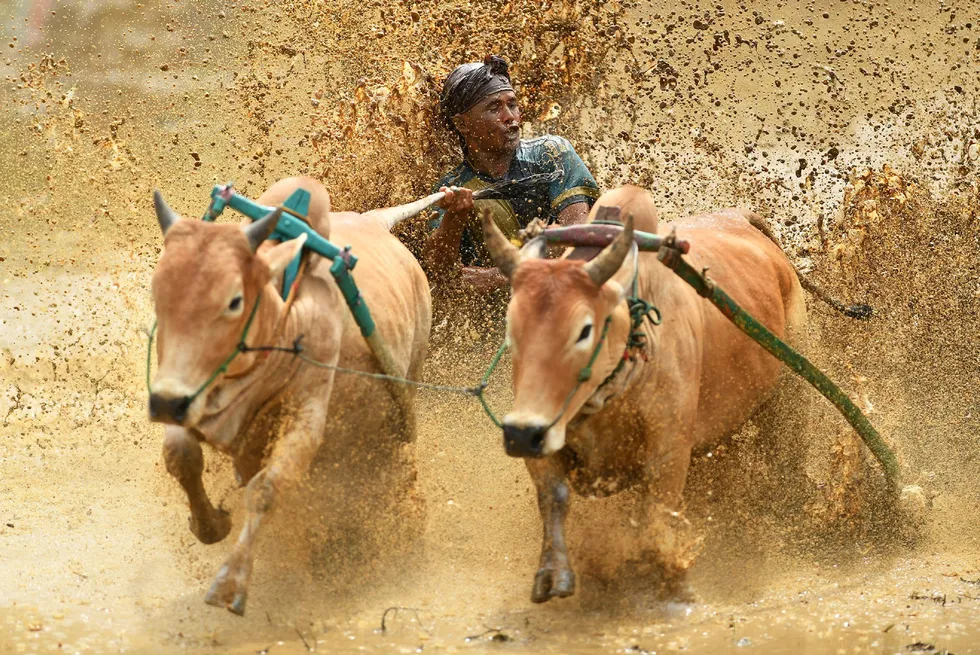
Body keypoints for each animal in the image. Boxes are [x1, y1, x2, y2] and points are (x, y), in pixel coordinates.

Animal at [149, 176, 432, 616]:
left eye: (234, 301)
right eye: (158, 294)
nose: (165, 402)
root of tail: (376, 221)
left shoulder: (306, 417)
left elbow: (266, 489)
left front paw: (231, 583)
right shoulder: (186, 395)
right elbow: (181, 456)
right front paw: (210, 524)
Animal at [486, 184, 852, 604]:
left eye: (584, 329)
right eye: (512, 326)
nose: (521, 434)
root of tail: (739, 217)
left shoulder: (669, 450)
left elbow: (656, 520)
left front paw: (665, 582)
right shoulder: (545, 436)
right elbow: (554, 499)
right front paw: (553, 573)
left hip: (792, 382)